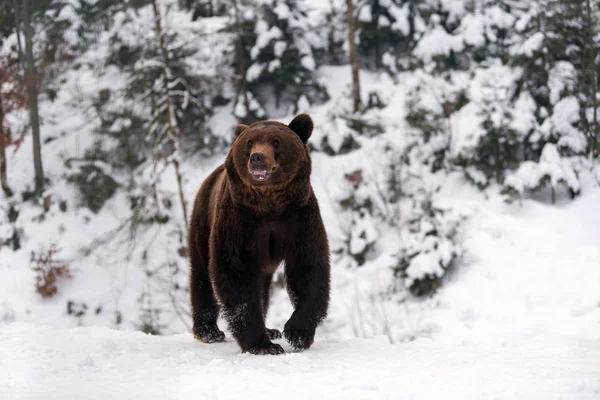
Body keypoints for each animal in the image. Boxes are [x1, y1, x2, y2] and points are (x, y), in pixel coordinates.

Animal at [188, 114, 330, 354]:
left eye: (276, 141)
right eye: (250, 142)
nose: (257, 157)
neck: (269, 203)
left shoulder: (299, 218)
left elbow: (308, 268)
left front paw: (297, 332)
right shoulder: (239, 222)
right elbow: (234, 274)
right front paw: (263, 345)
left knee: (262, 285)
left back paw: (271, 329)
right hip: (203, 220)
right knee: (202, 274)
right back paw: (209, 331)